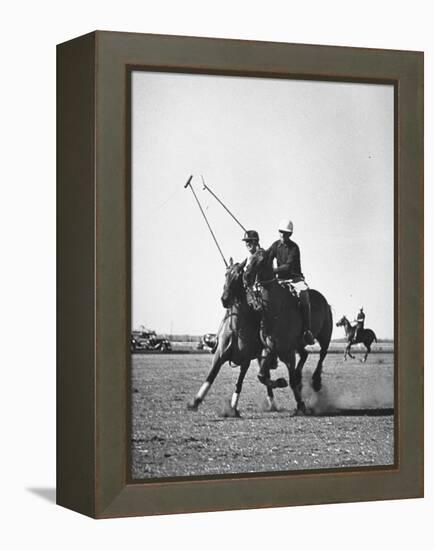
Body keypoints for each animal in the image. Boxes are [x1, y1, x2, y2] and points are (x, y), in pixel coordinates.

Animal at [187, 260, 284, 416]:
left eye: (239, 275)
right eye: (226, 274)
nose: (225, 299)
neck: (237, 329)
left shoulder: (245, 361)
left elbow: (239, 383)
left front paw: (233, 408)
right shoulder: (219, 357)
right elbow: (210, 377)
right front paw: (195, 402)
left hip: (262, 355)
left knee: (265, 376)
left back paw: (274, 400)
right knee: (265, 376)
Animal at [244, 252, 332, 416]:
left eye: (261, 259)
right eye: (249, 259)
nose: (246, 277)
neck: (274, 310)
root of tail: (324, 300)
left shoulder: (288, 352)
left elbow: (291, 381)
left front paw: (301, 405)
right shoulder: (270, 348)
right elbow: (262, 376)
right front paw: (280, 382)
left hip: (325, 335)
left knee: (322, 354)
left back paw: (316, 381)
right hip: (299, 344)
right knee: (305, 355)